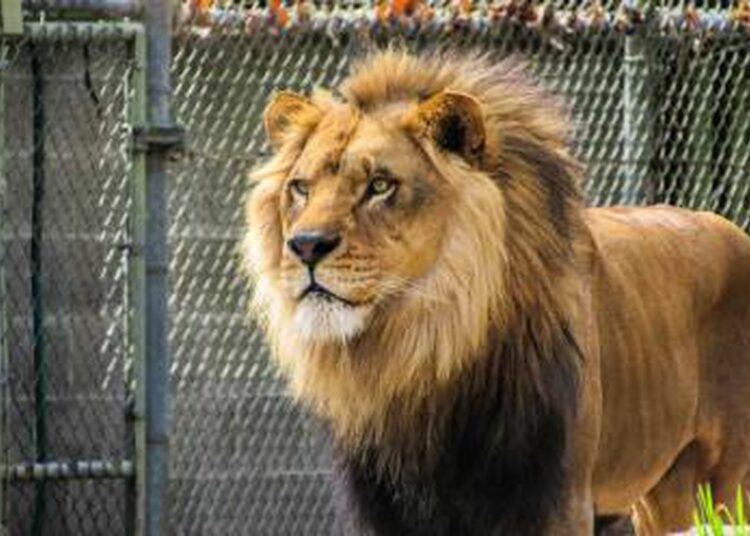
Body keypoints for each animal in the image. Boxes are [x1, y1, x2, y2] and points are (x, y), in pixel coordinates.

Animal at [241, 51, 750, 535]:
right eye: (300, 188)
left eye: (380, 185)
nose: (306, 245)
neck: (423, 349)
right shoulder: (386, 508)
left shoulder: (554, 497)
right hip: (666, 491)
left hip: (729, 480)